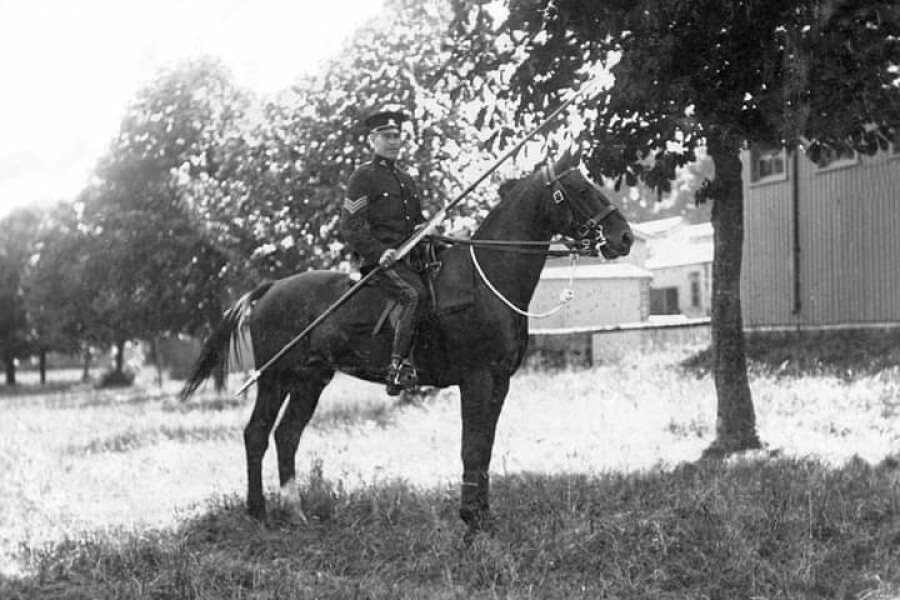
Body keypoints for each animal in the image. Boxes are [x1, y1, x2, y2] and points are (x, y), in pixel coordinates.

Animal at [180, 149, 633, 535]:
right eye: (580, 190)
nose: (624, 237)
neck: (487, 277)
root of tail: (270, 289)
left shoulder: (500, 382)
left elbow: (485, 447)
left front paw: (484, 515)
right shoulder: (476, 379)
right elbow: (472, 447)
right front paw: (471, 520)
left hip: (310, 380)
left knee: (286, 435)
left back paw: (296, 513)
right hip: (274, 378)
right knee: (256, 433)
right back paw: (258, 513)